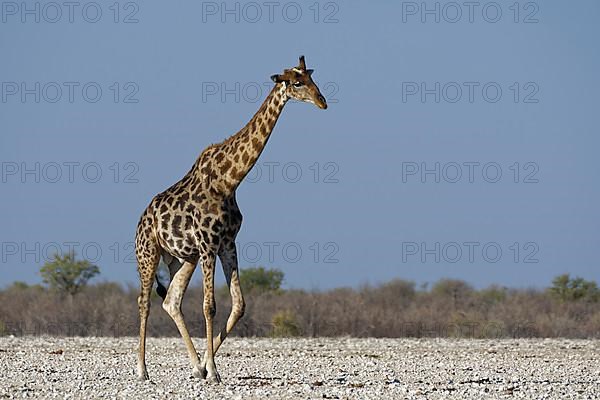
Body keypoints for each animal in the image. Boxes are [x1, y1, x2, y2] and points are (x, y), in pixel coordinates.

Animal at [135, 55, 328, 382]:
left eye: (313, 79)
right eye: (296, 83)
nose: (322, 101)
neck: (230, 181)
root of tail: (140, 221)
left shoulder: (227, 243)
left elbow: (238, 305)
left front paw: (205, 366)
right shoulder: (208, 244)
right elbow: (210, 306)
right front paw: (213, 371)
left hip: (182, 258)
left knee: (171, 300)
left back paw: (193, 365)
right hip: (148, 253)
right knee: (145, 302)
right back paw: (142, 369)